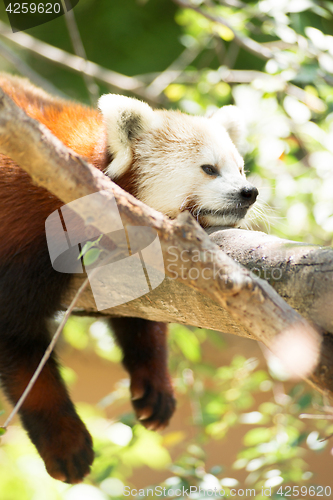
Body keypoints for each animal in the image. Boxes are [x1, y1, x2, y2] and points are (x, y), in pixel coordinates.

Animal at [0, 72, 256, 482]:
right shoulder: (22, 237)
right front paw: (65, 443)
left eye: (241, 169)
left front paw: (154, 385)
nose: (250, 192)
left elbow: (141, 314)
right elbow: (20, 344)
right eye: (209, 169)